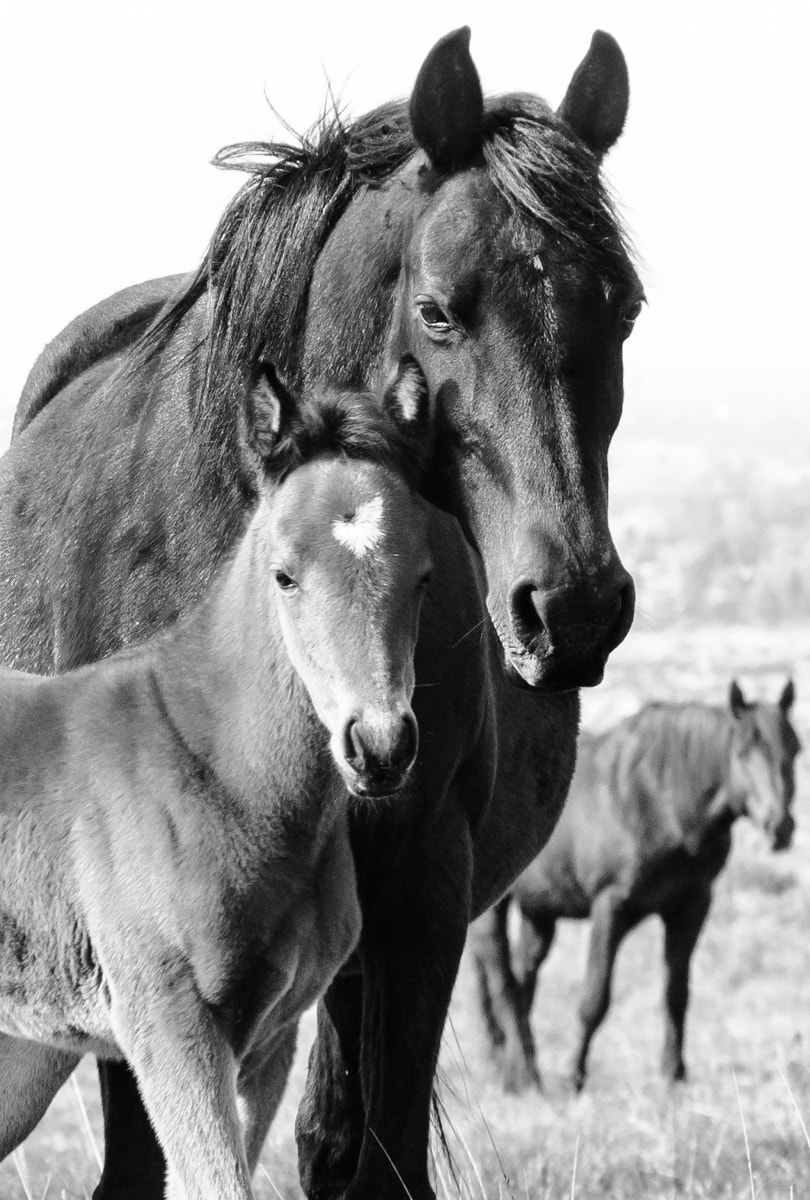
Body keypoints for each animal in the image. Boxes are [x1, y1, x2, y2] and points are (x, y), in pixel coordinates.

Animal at [0, 355, 432, 1200]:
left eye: (424, 579)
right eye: (285, 576)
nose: (379, 746)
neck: (216, 771)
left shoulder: (269, 1041)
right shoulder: (172, 1028)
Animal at [472, 681, 801, 1094]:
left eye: (796, 750)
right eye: (742, 752)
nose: (780, 826)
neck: (662, 799)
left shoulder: (691, 906)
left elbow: (677, 993)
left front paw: (674, 1073)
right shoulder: (610, 906)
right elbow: (595, 997)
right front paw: (574, 1076)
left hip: (539, 912)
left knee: (521, 977)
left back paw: (510, 1066)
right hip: (497, 908)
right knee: (501, 977)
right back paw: (526, 1074)